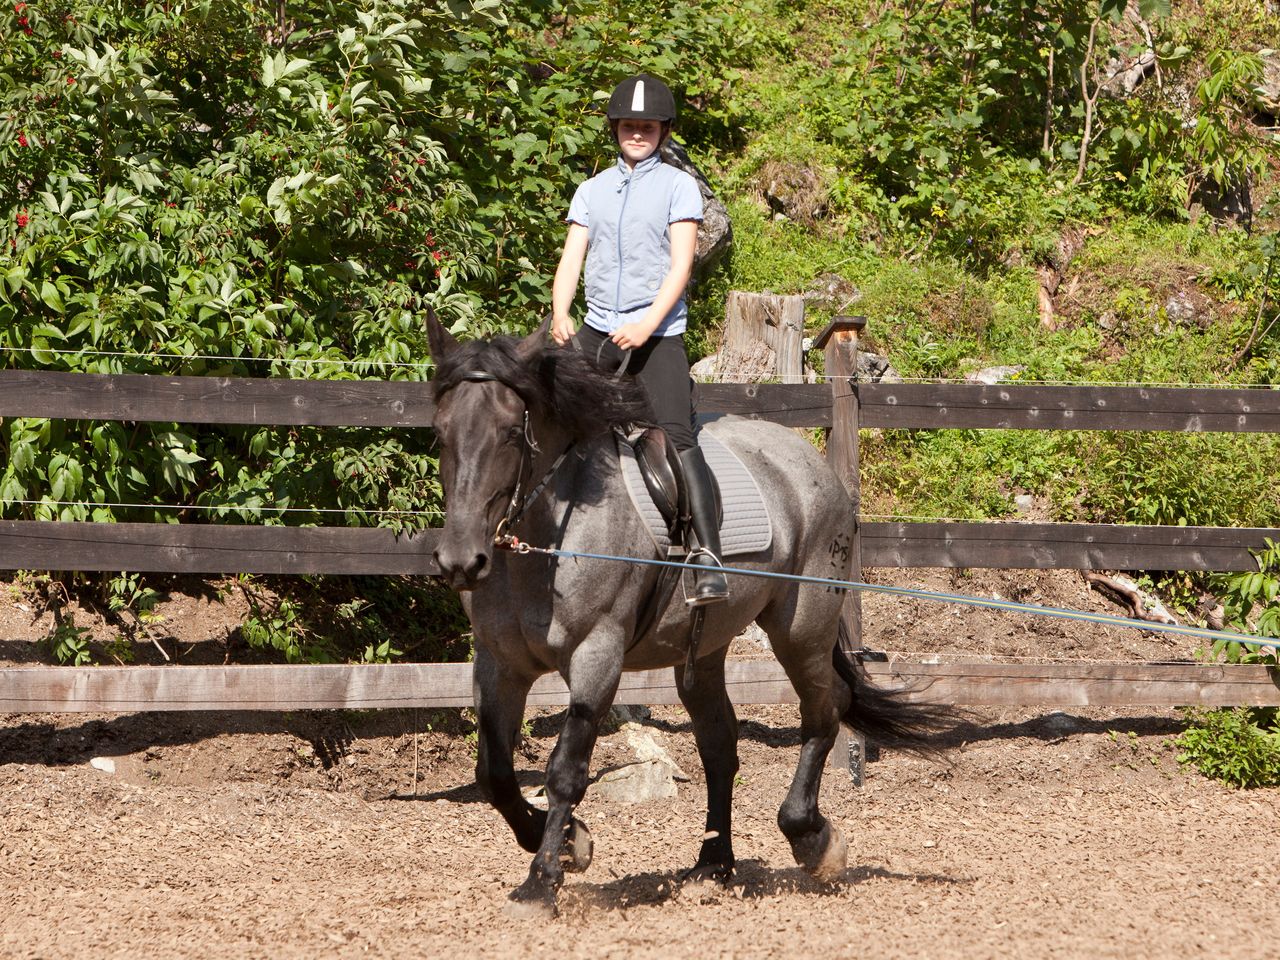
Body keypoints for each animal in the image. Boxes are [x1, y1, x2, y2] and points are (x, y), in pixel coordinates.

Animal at [424, 313, 947, 916]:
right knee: (720, 745)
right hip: (708, 646)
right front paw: (571, 842)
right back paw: (712, 865)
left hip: (800, 629)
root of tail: (810, 461)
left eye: (512, 433)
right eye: (440, 433)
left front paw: (542, 879)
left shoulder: (596, 658)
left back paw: (812, 840)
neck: (547, 539)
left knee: (825, 709)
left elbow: (565, 773)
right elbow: (494, 775)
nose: (461, 562)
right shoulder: (499, 665)